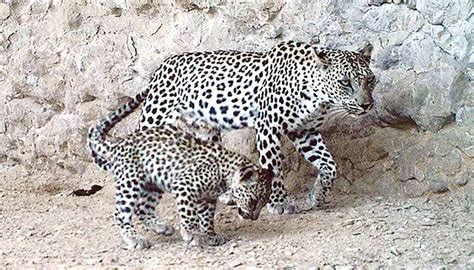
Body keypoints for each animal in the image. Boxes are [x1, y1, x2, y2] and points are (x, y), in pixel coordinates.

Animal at [136, 40, 374, 213]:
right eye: (345, 82)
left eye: (370, 80)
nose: (366, 105)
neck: (317, 97)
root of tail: (162, 66)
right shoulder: (268, 126)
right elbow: (274, 167)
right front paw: (278, 204)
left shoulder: (304, 131)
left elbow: (329, 165)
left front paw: (317, 196)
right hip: (155, 116)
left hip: (206, 131)